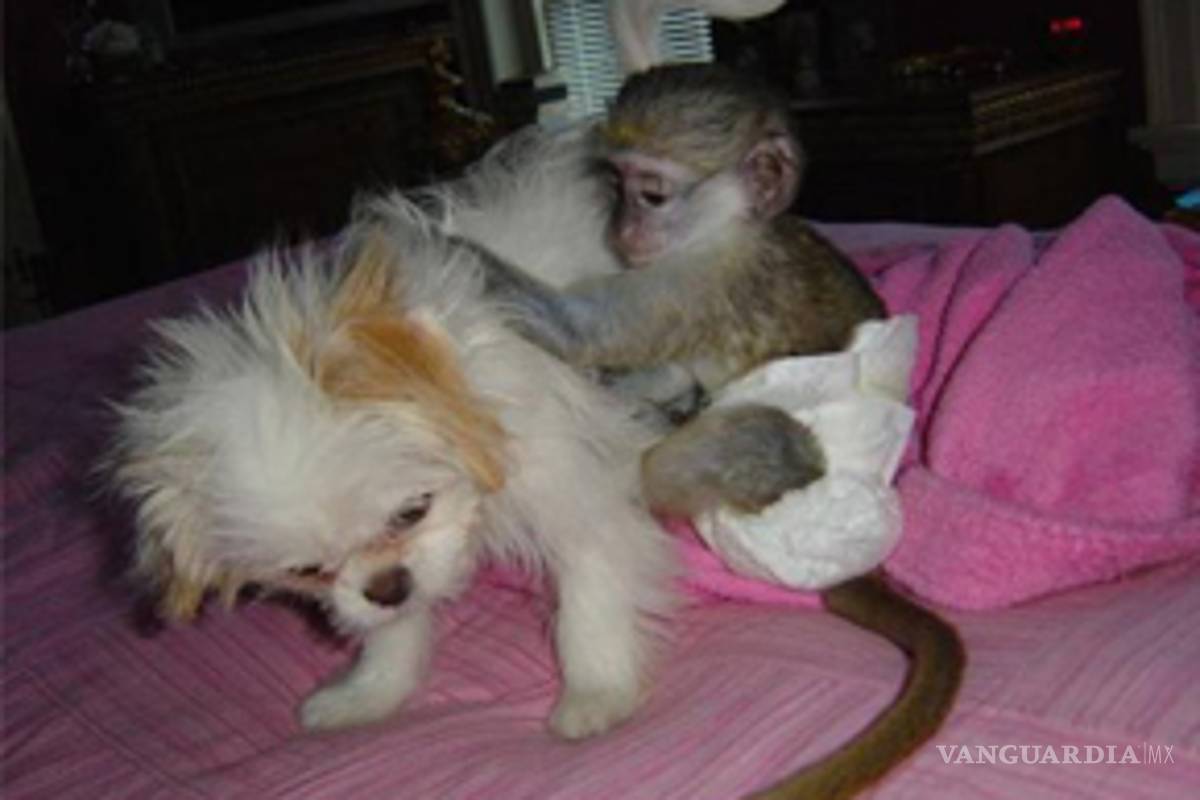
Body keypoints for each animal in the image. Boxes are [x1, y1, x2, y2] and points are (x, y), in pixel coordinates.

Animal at [476, 63, 965, 799]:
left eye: (651, 193)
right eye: (615, 187)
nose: (624, 230)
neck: (736, 228)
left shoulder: (707, 276)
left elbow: (576, 331)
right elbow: (660, 364)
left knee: (742, 444)